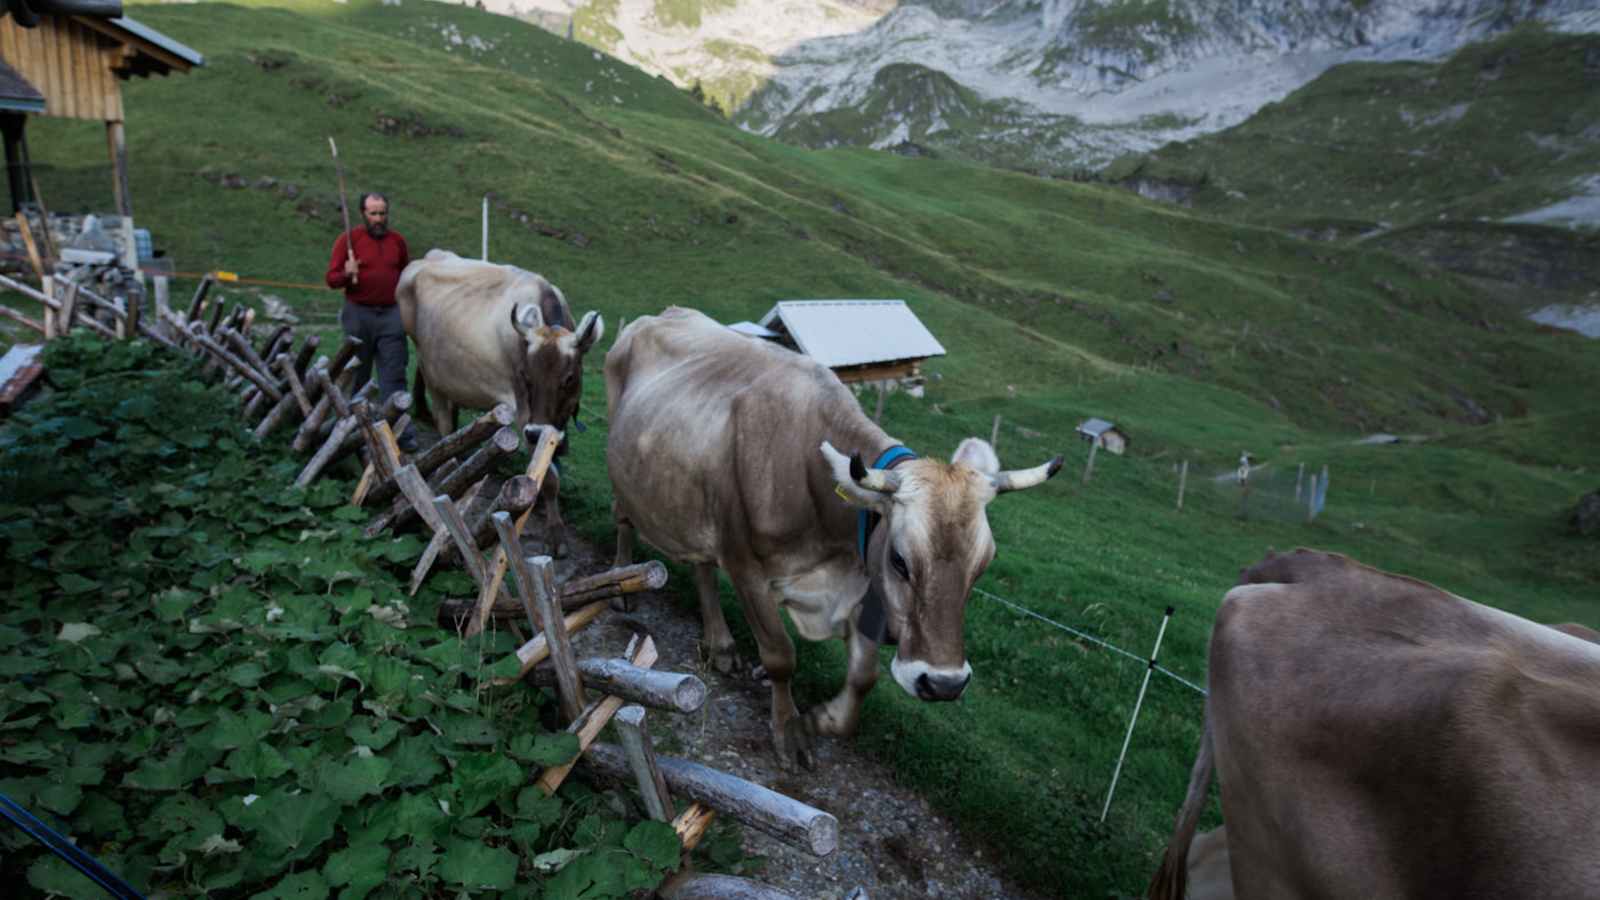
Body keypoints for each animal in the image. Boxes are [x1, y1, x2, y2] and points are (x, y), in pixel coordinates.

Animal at [396, 246, 601, 554]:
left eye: (568, 378)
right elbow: (548, 477)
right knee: (443, 425)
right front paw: (556, 535)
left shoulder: (558, 418)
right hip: (431, 368)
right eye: (526, 376)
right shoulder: (523, 409)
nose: (535, 432)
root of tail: (428, 258)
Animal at [601, 305, 1062, 762]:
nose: (943, 683)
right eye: (899, 560)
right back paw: (622, 582)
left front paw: (821, 719)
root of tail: (659, 315)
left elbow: (863, 677)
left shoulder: (862, 591)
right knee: (624, 520)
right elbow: (780, 655)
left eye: (982, 566)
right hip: (625, 474)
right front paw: (788, 730)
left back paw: (722, 646)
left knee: (702, 567)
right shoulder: (746, 566)